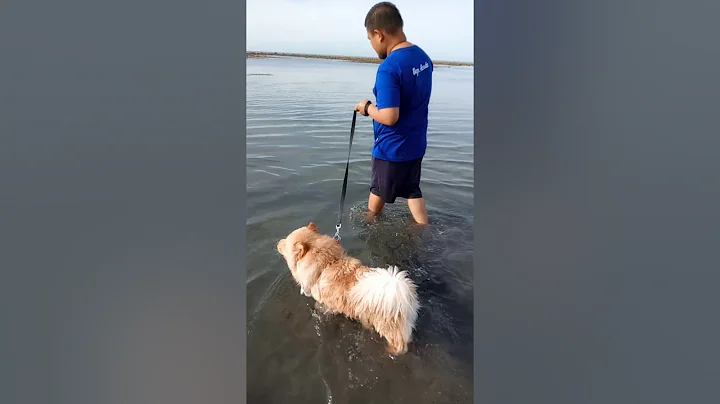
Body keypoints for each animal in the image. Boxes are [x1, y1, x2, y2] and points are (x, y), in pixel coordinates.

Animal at [278, 223, 422, 356]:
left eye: (285, 243)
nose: (278, 242)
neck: (327, 264)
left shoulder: (327, 305)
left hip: (388, 328)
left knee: (400, 345)